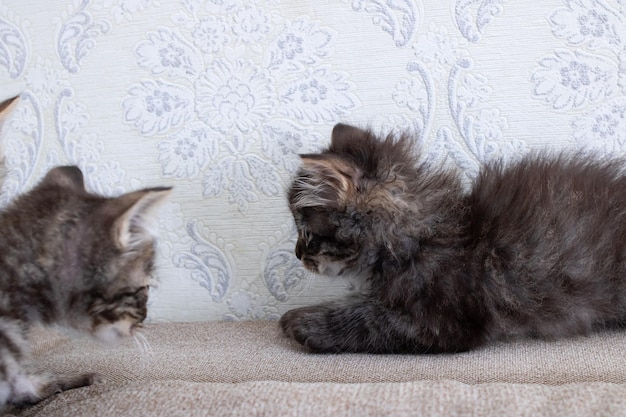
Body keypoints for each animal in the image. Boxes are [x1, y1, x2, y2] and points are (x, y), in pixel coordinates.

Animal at [278, 122, 626, 352]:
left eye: (307, 233)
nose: (296, 253)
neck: (421, 237)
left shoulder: (440, 322)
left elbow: (366, 319)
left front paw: (299, 321)